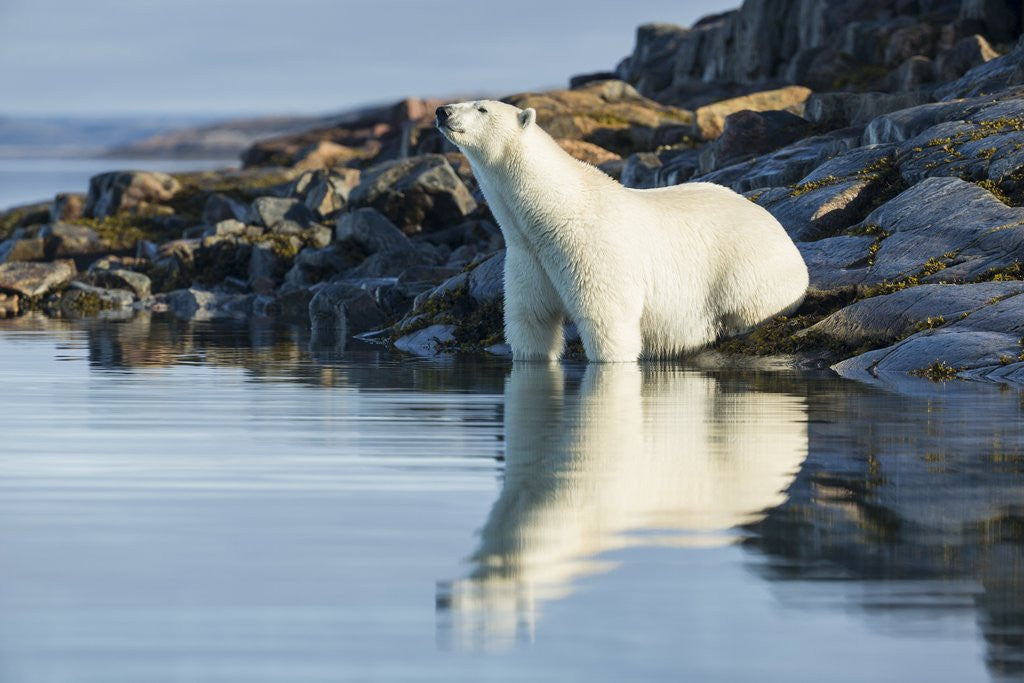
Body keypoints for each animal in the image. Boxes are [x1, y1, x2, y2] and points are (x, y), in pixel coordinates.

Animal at [435, 100, 809, 363]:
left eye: (482, 108)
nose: (443, 110)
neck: (553, 209)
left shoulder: (590, 248)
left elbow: (608, 318)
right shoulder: (528, 256)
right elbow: (531, 320)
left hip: (748, 268)